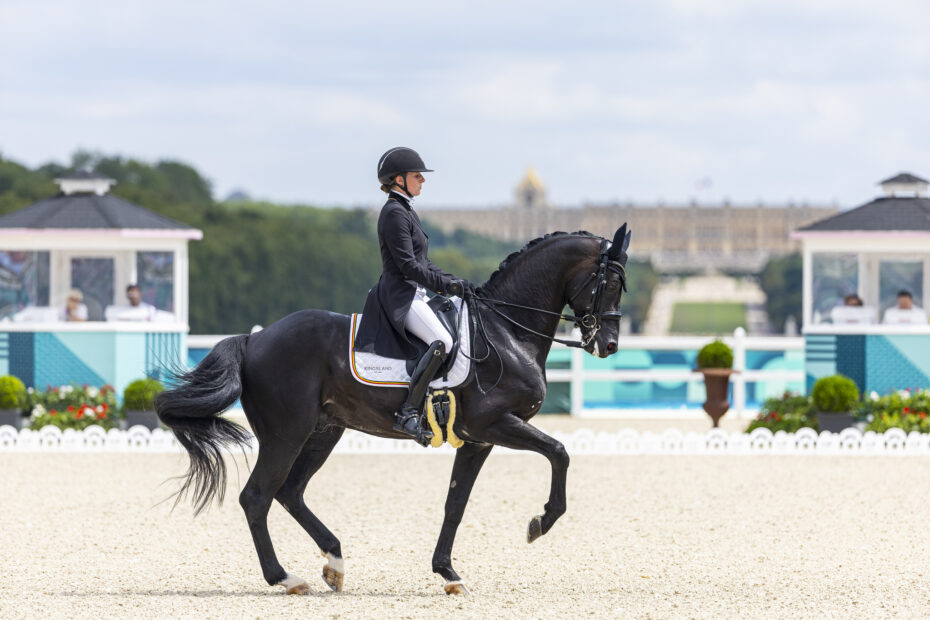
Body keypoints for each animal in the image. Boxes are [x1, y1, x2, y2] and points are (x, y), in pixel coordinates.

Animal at [158, 224, 632, 596]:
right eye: (608, 283)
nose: (609, 345)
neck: (506, 332)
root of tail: (255, 339)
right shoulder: (497, 424)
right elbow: (559, 453)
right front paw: (540, 522)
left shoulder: (477, 440)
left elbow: (455, 503)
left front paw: (449, 574)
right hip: (286, 434)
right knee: (257, 496)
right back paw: (286, 578)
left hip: (323, 431)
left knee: (290, 492)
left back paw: (335, 563)